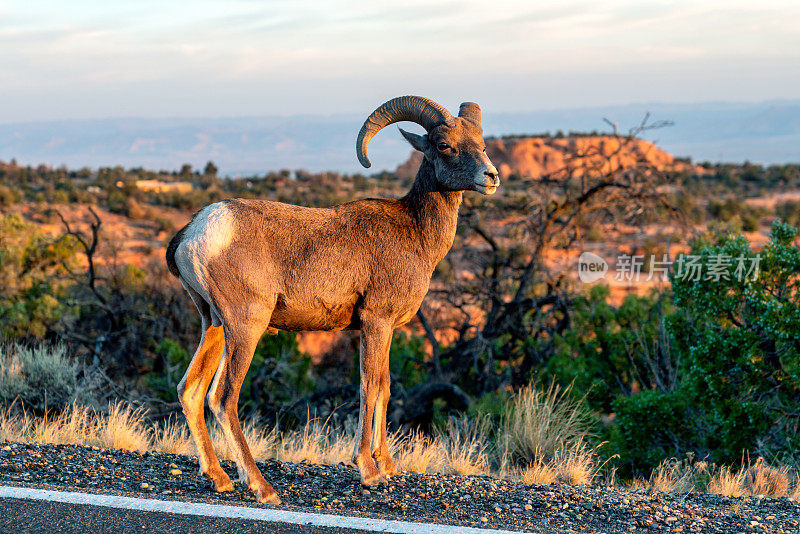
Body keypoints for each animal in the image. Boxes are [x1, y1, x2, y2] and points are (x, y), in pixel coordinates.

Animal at [166, 97, 496, 506]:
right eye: (444, 145)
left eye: (481, 143)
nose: (490, 176)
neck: (415, 232)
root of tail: (195, 234)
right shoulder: (375, 322)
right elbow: (369, 386)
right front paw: (369, 472)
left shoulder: (386, 329)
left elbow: (385, 386)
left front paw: (388, 466)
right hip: (246, 327)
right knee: (223, 397)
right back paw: (262, 487)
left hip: (212, 325)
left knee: (191, 390)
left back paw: (220, 479)